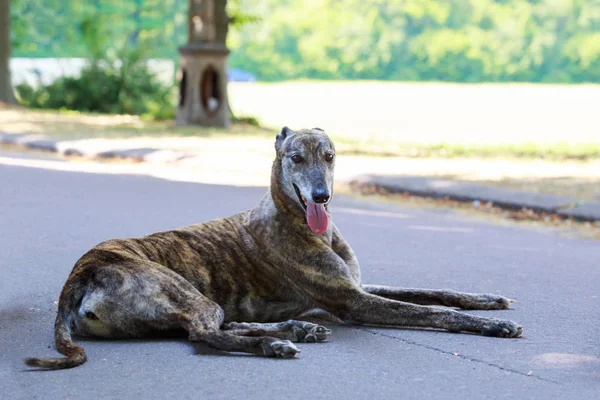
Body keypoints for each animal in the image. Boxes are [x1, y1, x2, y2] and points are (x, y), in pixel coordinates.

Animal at [24, 127, 520, 368]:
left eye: (329, 156)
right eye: (294, 158)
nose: (321, 195)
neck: (300, 221)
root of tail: (81, 272)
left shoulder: (355, 286)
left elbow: (434, 293)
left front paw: (486, 300)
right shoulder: (352, 301)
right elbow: (433, 311)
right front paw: (491, 327)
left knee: (218, 326)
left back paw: (296, 331)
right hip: (183, 293)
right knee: (205, 335)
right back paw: (277, 344)